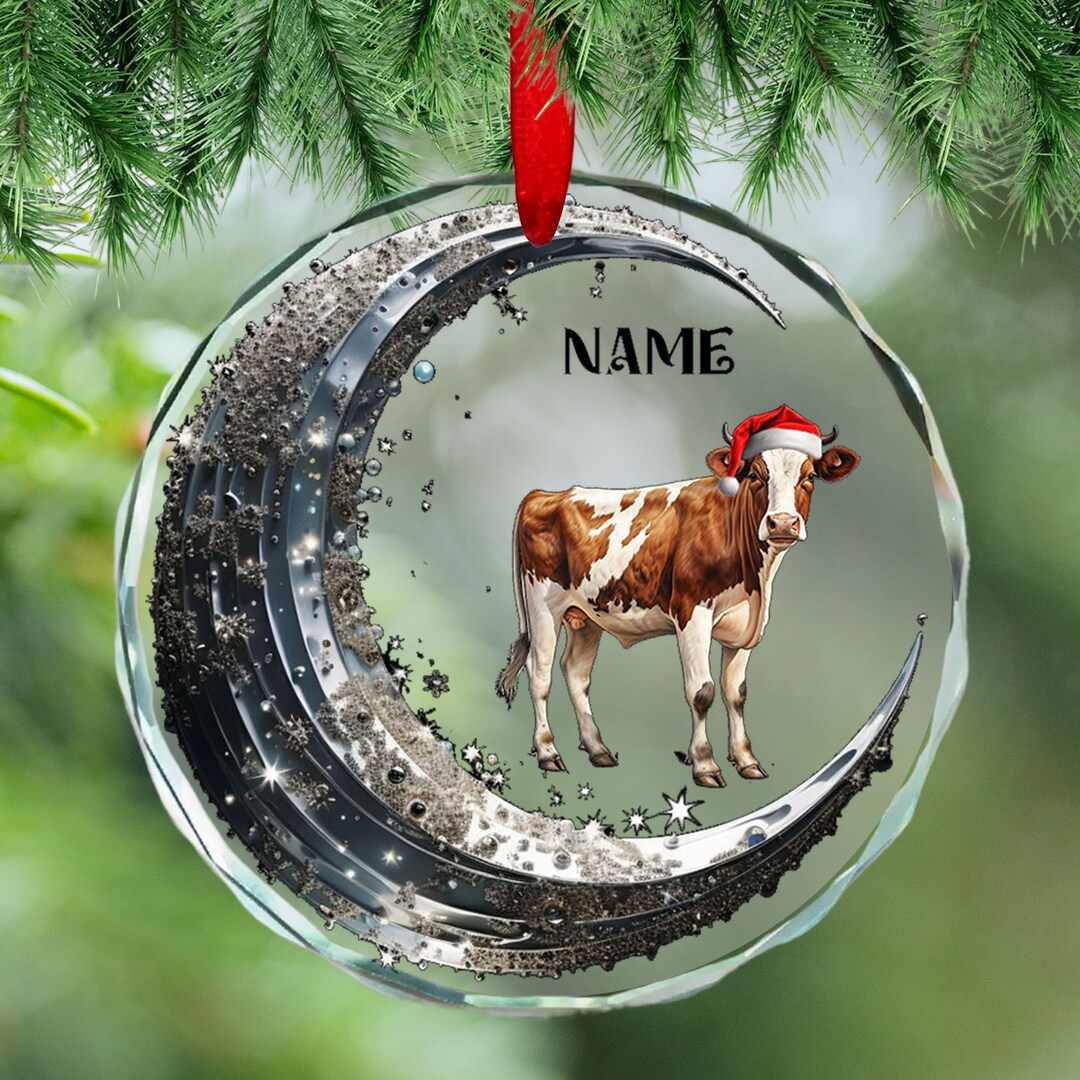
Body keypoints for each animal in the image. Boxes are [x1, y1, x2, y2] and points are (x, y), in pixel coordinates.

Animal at [495, 420, 859, 788]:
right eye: (756, 475)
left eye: (809, 475)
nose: (782, 523)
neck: (756, 581)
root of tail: (544, 495)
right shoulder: (691, 613)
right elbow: (702, 692)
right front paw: (706, 765)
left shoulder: (742, 627)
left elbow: (736, 692)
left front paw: (746, 760)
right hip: (544, 603)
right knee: (539, 672)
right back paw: (548, 752)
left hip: (586, 615)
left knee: (575, 672)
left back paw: (598, 749)